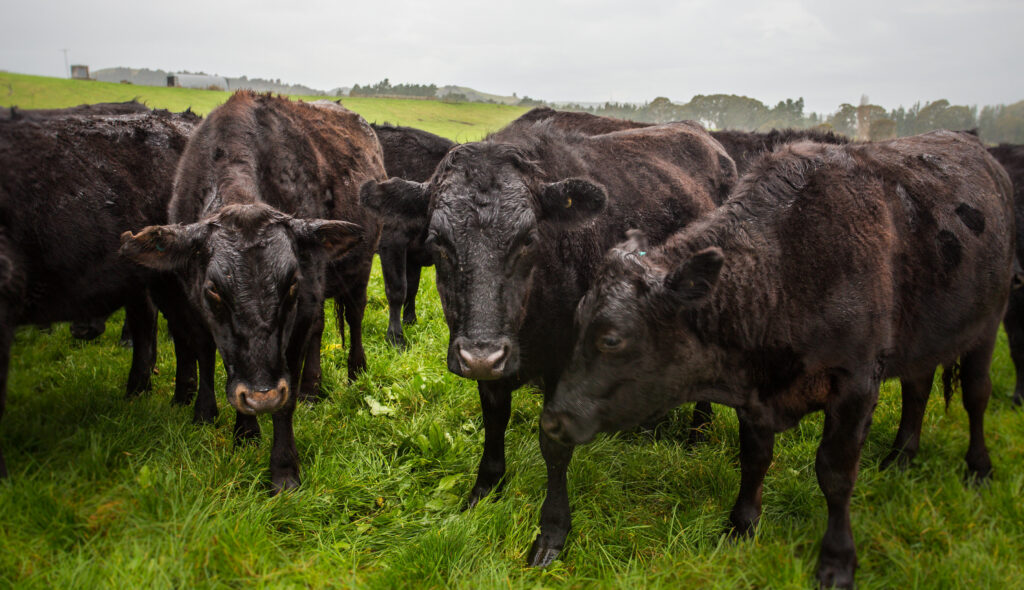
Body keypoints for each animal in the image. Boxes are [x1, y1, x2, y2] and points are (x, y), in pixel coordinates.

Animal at [121, 91, 385, 492]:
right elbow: (207, 354)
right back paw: (312, 390)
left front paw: (284, 471)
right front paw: (236, 428)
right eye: (214, 289)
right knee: (320, 330)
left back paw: (355, 372)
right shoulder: (195, 307)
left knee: (353, 318)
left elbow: (285, 400)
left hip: (359, 270)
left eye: (291, 282)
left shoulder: (301, 307)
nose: (262, 396)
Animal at [369, 123, 454, 348]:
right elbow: (397, 289)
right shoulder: (391, 241)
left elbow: (413, 287)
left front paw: (410, 321)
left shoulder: (415, 253)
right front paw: (395, 338)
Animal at [541, 130, 1014, 588]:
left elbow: (835, 474)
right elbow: (755, 457)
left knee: (976, 395)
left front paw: (837, 560)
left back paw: (979, 469)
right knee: (918, 390)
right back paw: (900, 457)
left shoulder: (857, 384)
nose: (553, 421)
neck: (789, 265)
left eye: (612, 339)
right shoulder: (755, 393)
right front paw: (741, 527)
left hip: (988, 323)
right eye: (577, 319)